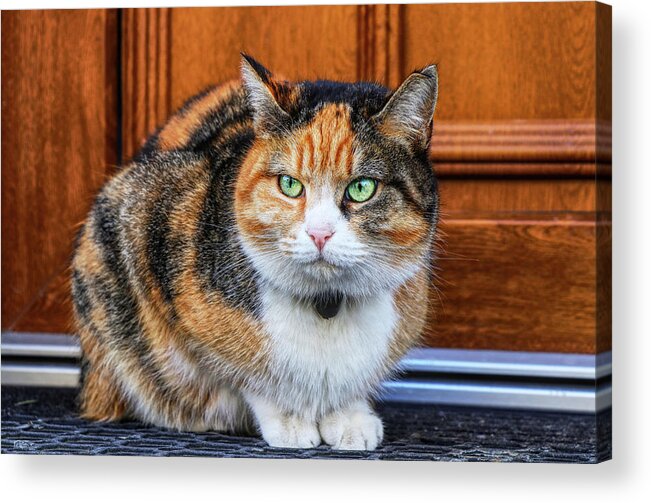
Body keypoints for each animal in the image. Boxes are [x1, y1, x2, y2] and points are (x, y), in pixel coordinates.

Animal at [70, 55, 438, 452]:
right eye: (289, 184)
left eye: (361, 188)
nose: (319, 233)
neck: (327, 304)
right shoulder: (146, 216)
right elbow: (247, 376)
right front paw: (289, 420)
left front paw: (349, 418)